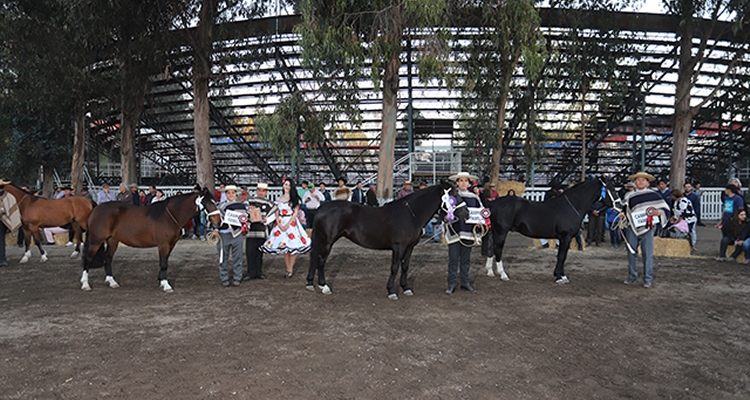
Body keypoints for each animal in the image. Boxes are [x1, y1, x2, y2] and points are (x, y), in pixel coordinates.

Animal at [83, 186, 223, 292]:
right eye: (207, 202)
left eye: (215, 202)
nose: (218, 222)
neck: (169, 216)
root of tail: (95, 209)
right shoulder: (164, 244)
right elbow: (163, 263)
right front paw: (166, 285)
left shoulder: (170, 244)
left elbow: (165, 261)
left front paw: (161, 281)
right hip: (96, 241)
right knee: (88, 258)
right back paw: (85, 284)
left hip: (112, 240)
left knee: (108, 258)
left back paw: (112, 282)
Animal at [306, 181, 470, 300]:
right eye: (453, 194)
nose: (467, 213)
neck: (411, 215)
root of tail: (321, 209)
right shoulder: (398, 247)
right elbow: (395, 268)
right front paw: (391, 291)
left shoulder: (410, 247)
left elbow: (405, 267)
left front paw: (406, 288)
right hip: (327, 241)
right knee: (321, 261)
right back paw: (324, 287)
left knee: (315, 259)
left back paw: (310, 284)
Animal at [488, 178, 624, 284]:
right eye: (612, 190)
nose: (621, 207)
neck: (571, 206)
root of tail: (493, 204)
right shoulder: (565, 237)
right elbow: (562, 256)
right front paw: (560, 277)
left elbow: (561, 256)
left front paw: (560, 275)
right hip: (501, 232)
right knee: (498, 250)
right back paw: (503, 275)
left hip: (494, 231)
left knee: (491, 249)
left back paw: (490, 272)